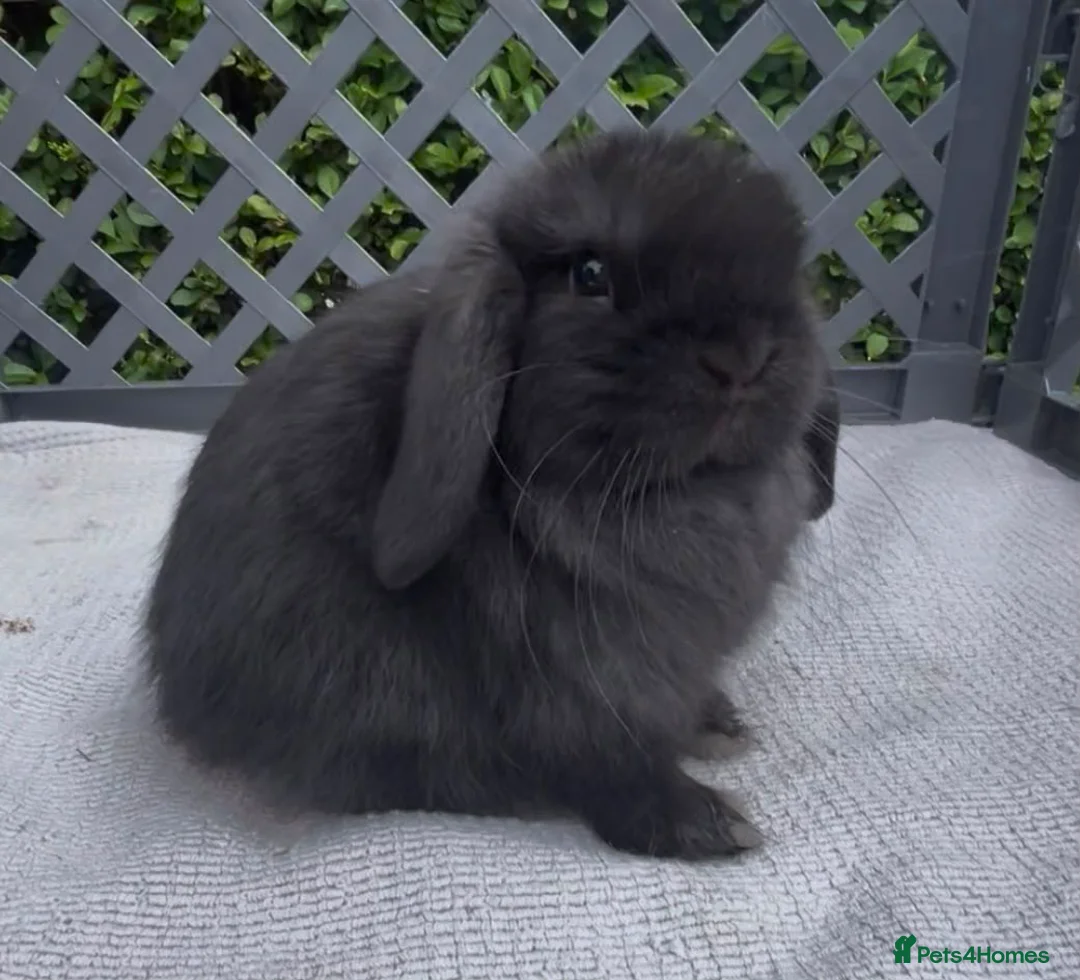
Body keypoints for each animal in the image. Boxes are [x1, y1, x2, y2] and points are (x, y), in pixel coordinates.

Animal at [142, 126, 839, 861]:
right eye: (589, 274)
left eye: (789, 270)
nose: (742, 359)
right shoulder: (574, 690)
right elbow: (608, 765)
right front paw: (705, 823)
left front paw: (717, 723)